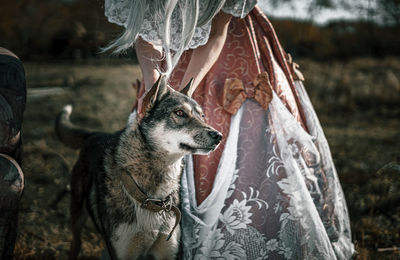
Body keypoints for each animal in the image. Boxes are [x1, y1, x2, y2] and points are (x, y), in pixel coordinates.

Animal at [55, 75, 222, 260]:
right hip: (77, 215)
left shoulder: (167, 251)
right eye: (180, 113)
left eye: (202, 116)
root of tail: (94, 134)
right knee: (75, 242)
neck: (153, 198)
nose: (218, 136)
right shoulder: (124, 252)